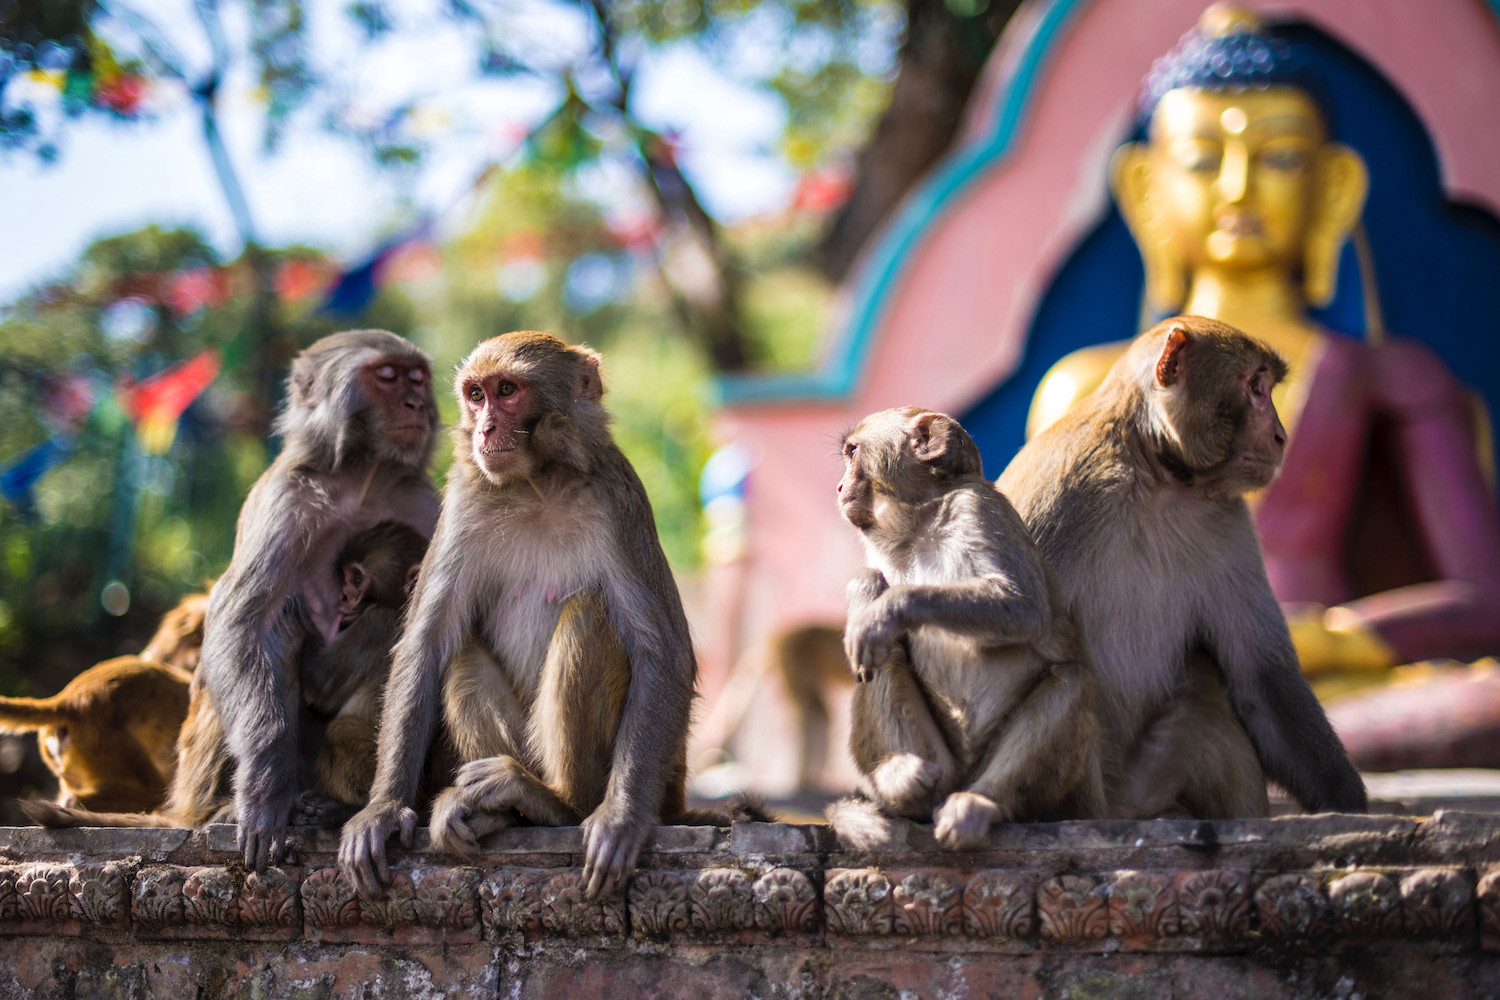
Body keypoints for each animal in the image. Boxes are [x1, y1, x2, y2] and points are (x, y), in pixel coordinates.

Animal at [21, 329, 438, 851]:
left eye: (417, 378)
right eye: (387, 376)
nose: (416, 403)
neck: (365, 479)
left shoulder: (424, 501)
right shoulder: (284, 496)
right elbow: (242, 622)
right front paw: (263, 786)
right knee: (253, 647)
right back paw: (223, 807)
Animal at [343, 332, 705, 905]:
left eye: (507, 391)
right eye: (475, 395)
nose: (486, 429)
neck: (536, 486)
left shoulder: (618, 499)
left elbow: (664, 652)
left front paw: (622, 817)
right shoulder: (464, 501)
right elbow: (427, 643)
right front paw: (382, 809)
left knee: (588, 613)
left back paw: (555, 803)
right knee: (462, 650)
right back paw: (496, 811)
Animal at [828, 407, 1110, 851]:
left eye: (853, 452)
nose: (839, 486)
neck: (919, 524)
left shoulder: (977, 508)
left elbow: (1022, 609)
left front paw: (886, 609)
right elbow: (872, 588)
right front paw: (865, 592)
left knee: (1072, 682)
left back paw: (979, 802)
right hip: (939, 766)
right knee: (884, 656)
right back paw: (899, 780)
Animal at [1002, 319, 1368, 821]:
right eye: (1256, 387)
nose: (1281, 436)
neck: (1156, 474)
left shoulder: (1230, 522)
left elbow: (1260, 679)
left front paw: (1346, 803)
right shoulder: (1061, 496)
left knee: (1204, 707)